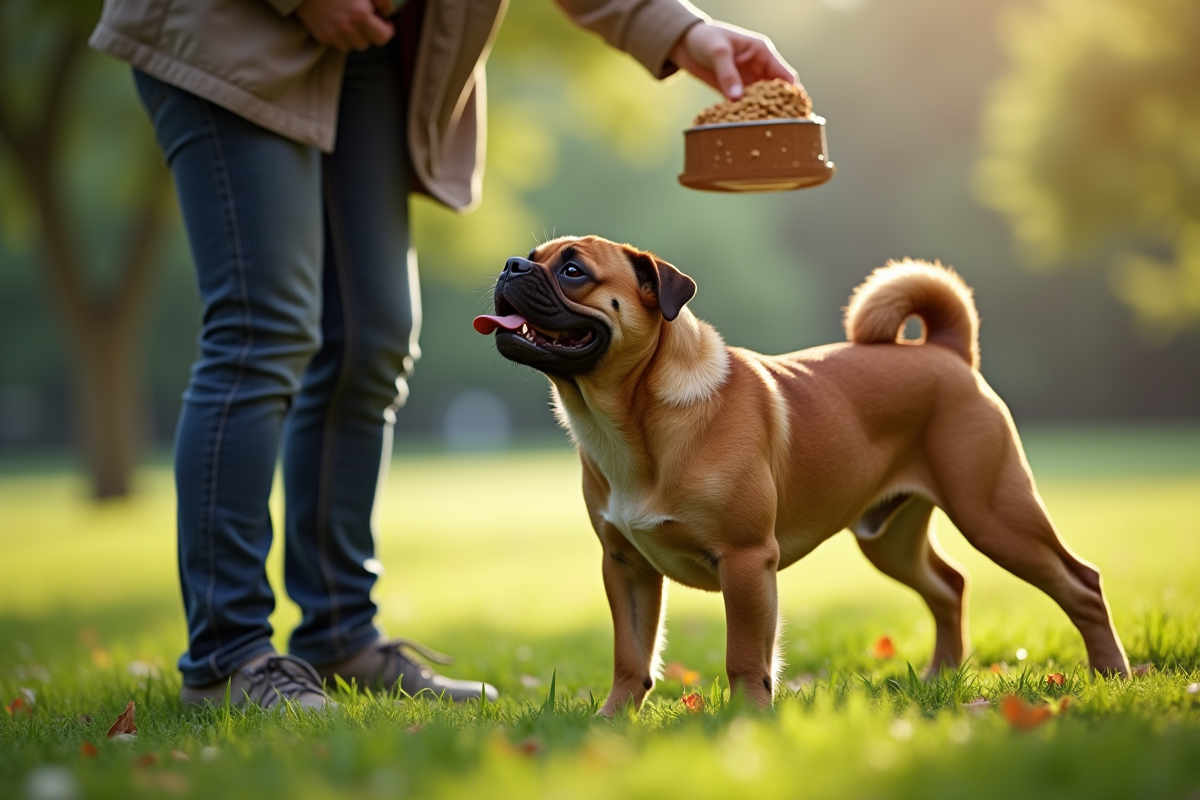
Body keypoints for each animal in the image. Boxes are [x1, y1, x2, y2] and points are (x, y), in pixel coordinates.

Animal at [472, 235, 1128, 710]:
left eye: (573, 270)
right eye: (533, 258)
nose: (509, 266)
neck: (629, 419)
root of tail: (946, 352)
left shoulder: (744, 561)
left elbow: (745, 657)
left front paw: (746, 724)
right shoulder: (626, 566)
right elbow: (631, 657)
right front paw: (613, 723)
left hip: (995, 515)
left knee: (1080, 582)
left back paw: (1111, 676)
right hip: (891, 540)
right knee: (949, 585)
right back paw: (941, 677)